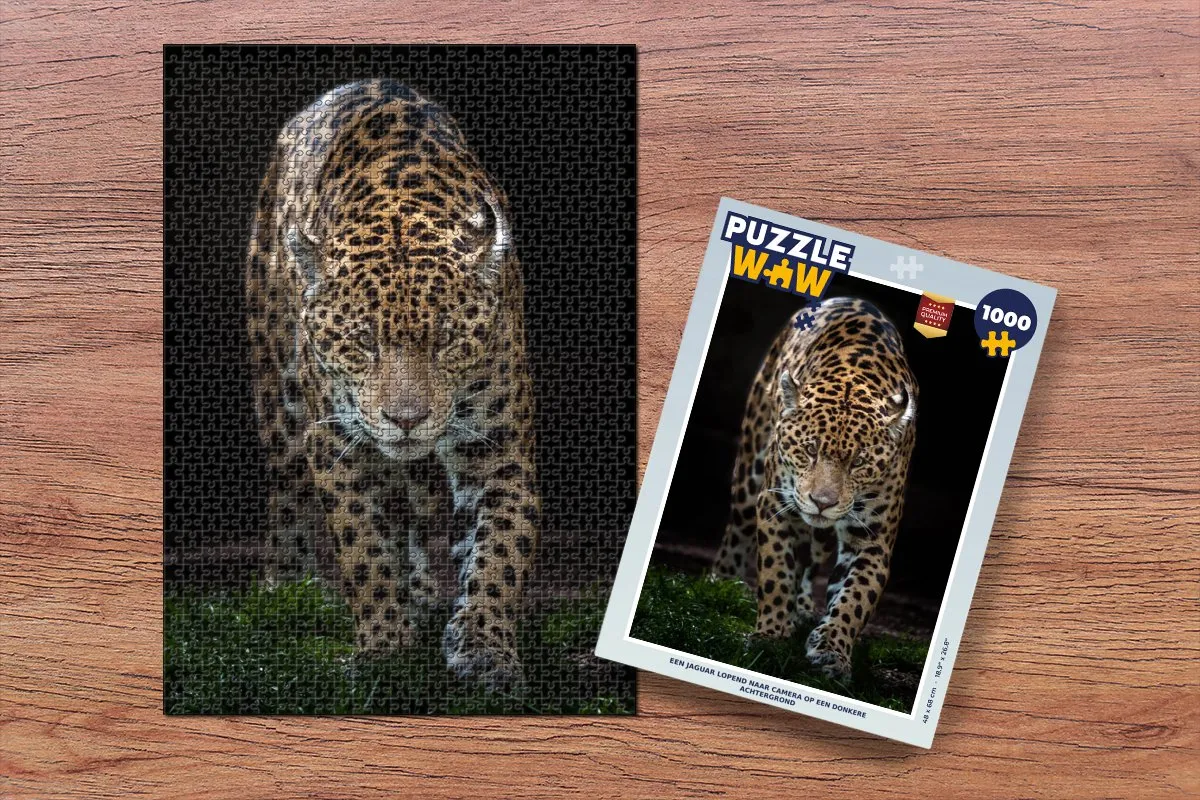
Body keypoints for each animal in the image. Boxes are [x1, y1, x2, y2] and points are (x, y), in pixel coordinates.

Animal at [246, 80, 539, 691]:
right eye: (362, 342)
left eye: (447, 340)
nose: (406, 419)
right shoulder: (334, 444)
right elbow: (364, 549)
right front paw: (384, 644)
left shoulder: (499, 451)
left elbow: (500, 552)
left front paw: (485, 647)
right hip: (278, 399)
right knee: (286, 491)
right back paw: (284, 588)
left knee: (419, 505)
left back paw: (424, 593)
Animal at [712, 296, 917, 680]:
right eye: (809, 450)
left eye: (859, 462)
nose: (822, 502)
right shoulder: (775, 507)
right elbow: (776, 573)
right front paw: (771, 637)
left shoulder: (872, 540)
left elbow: (855, 599)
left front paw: (832, 650)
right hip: (749, 475)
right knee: (738, 530)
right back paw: (721, 584)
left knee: (811, 557)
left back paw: (806, 606)